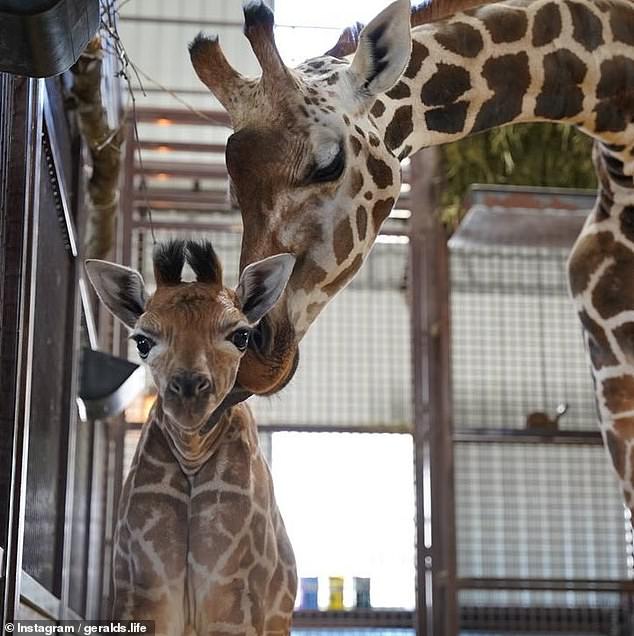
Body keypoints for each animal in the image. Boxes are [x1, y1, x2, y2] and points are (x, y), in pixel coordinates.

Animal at [84, 241, 298, 636]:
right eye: (142, 341)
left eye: (241, 335)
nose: (187, 392)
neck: (193, 454)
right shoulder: (144, 592)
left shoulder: (233, 598)